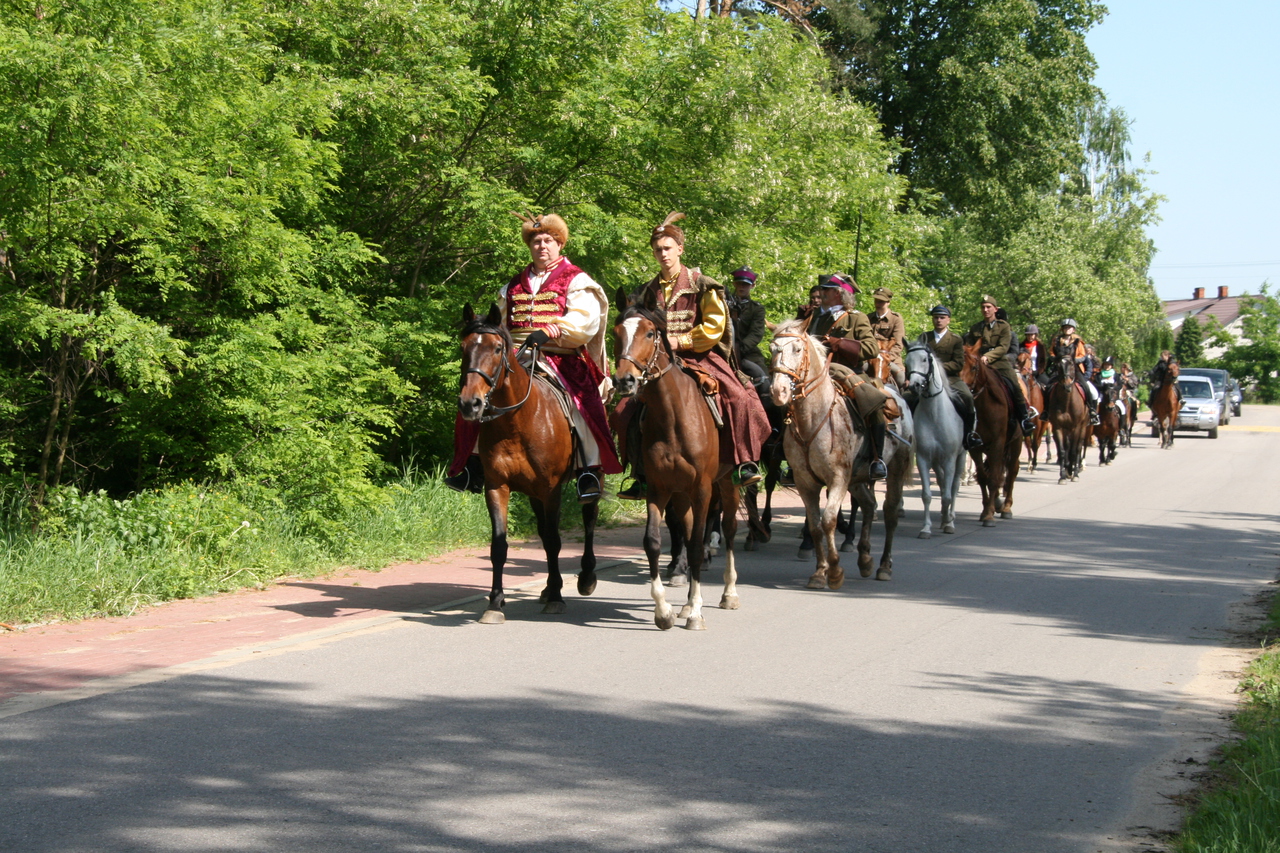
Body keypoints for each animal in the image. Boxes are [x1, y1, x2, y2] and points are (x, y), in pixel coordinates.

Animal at [458, 302, 601, 622]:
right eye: (463, 347)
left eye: (497, 348)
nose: (470, 403)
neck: (516, 422)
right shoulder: (497, 486)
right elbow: (500, 544)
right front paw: (495, 602)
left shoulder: (551, 490)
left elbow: (554, 540)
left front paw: (558, 597)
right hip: (533, 494)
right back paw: (548, 587)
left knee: (588, 519)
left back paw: (585, 577)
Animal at [609, 295, 742, 627]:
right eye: (616, 332)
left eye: (649, 333)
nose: (625, 381)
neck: (673, 416)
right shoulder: (658, 488)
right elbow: (653, 542)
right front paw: (664, 610)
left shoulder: (703, 488)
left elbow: (696, 546)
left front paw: (694, 611)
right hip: (681, 494)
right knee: (688, 526)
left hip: (727, 483)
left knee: (730, 529)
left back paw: (729, 593)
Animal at [901, 340, 962, 535]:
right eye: (907, 362)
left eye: (925, 359)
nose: (914, 385)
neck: (934, 414)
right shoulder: (923, 458)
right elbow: (927, 495)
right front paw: (926, 528)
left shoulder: (950, 459)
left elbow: (949, 494)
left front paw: (949, 524)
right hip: (936, 460)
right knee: (942, 484)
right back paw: (943, 517)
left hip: (961, 456)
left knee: (953, 486)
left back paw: (950, 518)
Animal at [962, 338, 1018, 525]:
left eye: (974, 367)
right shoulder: (975, 447)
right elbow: (983, 477)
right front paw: (987, 509)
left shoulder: (998, 443)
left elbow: (993, 478)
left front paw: (989, 516)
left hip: (1016, 442)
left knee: (1011, 472)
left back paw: (1006, 507)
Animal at [1039, 350, 1090, 481]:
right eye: (1057, 366)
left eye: (1072, 364)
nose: (1067, 385)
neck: (1067, 401)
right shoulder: (1058, 426)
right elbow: (1062, 450)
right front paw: (1062, 476)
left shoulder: (1076, 427)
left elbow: (1074, 450)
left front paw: (1073, 474)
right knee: (1067, 447)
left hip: (1083, 427)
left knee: (1078, 447)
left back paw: (1075, 470)